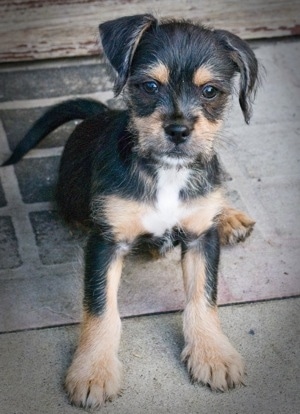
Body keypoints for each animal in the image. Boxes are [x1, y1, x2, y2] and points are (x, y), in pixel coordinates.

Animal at [1, 12, 258, 408]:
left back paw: (228, 214)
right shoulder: (106, 243)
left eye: (210, 91)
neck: (165, 171)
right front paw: (93, 371)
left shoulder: (201, 239)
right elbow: (101, 308)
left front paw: (213, 354)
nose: (178, 130)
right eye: (149, 86)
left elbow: (204, 297)